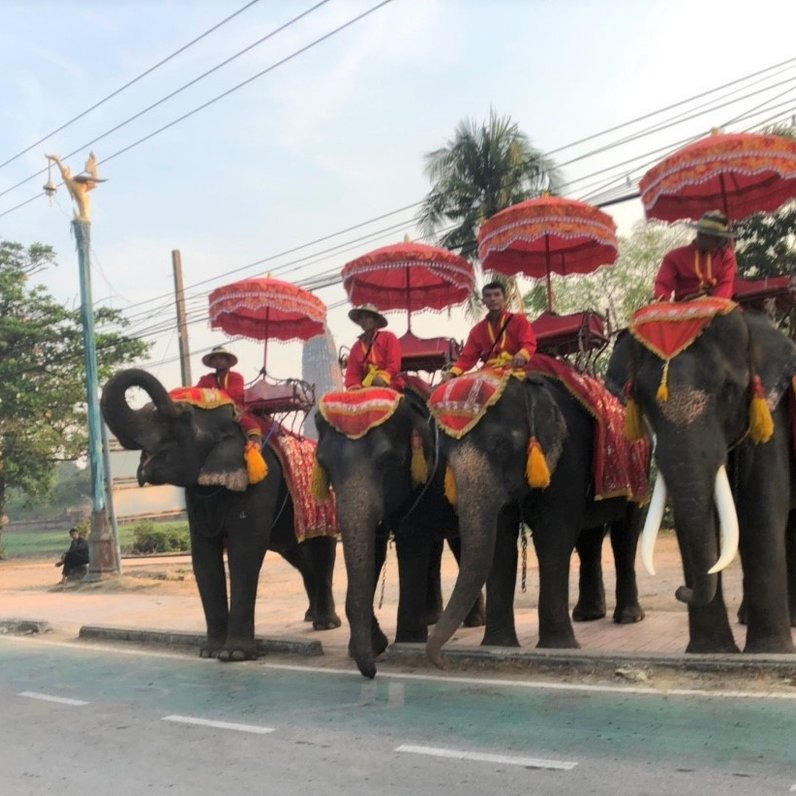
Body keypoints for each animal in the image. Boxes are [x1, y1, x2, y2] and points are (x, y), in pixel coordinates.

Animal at [99, 370, 338, 664]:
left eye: (183, 416)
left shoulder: (261, 481)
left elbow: (244, 552)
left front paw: (233, 653)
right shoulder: (196, 494)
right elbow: (203, 556)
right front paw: (210, 651)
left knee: (323, 554)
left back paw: (326, 623)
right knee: (301, 558)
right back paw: (310, 616)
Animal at [608, 306, 792, 652]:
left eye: (729, 389)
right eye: (641, 397)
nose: (681, 591)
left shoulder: (770, 416)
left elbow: (761, 508)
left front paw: (769, 652)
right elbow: (687, 519)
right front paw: (711, 651)